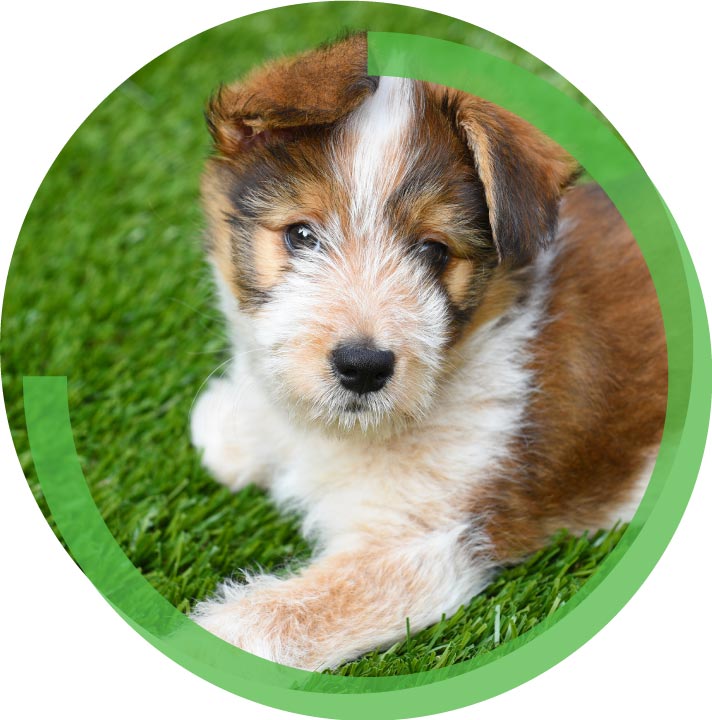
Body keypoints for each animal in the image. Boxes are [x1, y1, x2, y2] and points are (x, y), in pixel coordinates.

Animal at [188, 33, 668, 672]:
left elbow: (274, 618)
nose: (363, 367)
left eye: (434, 251)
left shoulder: (424, 545)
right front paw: (236, 427)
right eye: (301, 235)